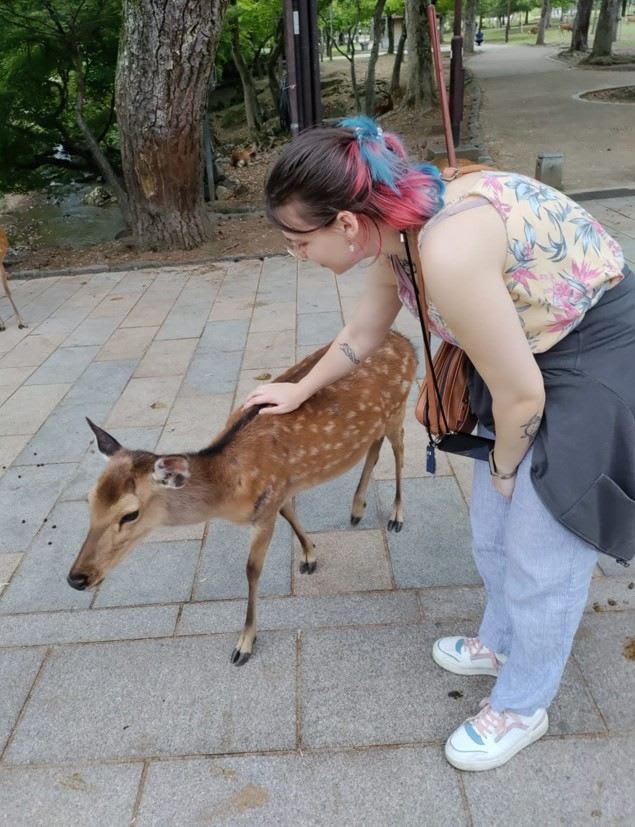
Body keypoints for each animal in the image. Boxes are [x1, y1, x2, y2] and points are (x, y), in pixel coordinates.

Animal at [67, 331, 417, 665]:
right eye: (89, 500)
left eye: (130, 514)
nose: (77, 579)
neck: (229, 488)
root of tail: (407, 342)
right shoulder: (279, 490)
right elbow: (290, 513)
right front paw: (309, 555)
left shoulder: (265, 508)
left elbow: (251, 570)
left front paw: (244, 644)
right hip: (379, 420)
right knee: (373, 446)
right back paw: (357, 508)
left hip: (399, 408)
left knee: (400, 449)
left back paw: (396, 516)